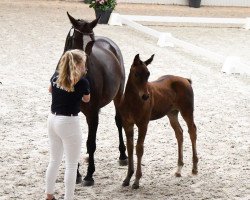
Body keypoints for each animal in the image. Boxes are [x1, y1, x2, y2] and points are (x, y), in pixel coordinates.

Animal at [60, 12, 128, 187]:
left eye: (91, 43)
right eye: (75, 40)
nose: (82, 70)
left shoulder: (92, 112)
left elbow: (91, 143)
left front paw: (89, 175)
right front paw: (76, 174)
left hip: (118, 95)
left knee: (119, 121)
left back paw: (123, 156)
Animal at [118, 54, 197, 189]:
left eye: (148, 74)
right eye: (136, 74)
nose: (145, 96)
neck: (132, 102)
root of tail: (186, 80)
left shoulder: (143, 124)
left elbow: (139, 149)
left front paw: (137, 180)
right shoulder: (127, 124)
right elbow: (130, 148)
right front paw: (127, 178)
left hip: (187, 111)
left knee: (192, 131)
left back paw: (194, 168)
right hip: (172, 113)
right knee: (179, 133)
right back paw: (178, 169)